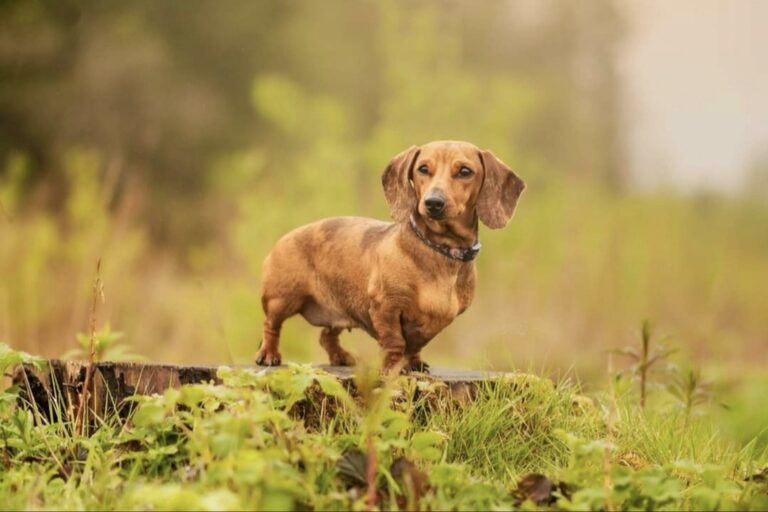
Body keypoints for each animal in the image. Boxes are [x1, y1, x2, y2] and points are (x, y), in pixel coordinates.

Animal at [255, 140, 524, 372]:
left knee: (326, 335)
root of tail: (286, 236)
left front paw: (414, 364)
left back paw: (341, 357)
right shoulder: (386, 307)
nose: (433, 203)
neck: (442, 252)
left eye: (465, 171)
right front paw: (391, 368)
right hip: (281, 299)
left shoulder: (434, 322)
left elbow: (415, 345)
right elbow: (395, 342)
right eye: (423, 168)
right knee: (271, 326)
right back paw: (268, 355)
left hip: (341, 310)